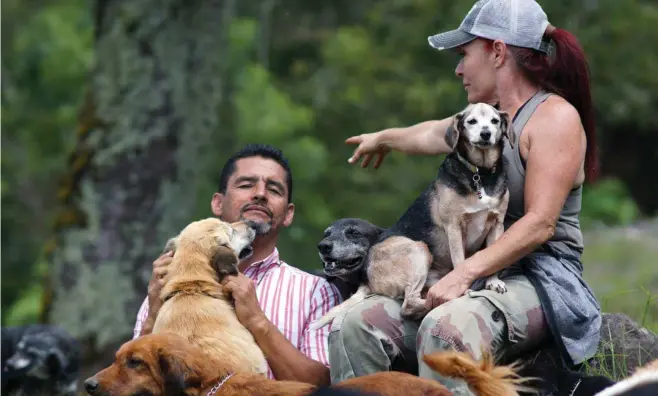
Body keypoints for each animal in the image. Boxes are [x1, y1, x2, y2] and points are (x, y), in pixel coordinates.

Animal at [310, 101, 516, 328]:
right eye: (471, 121)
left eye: (495, 121)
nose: (486, 134)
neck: (480, 173)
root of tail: (367, 278)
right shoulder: (454, 226)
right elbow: (460, 262)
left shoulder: (497, 223)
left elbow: (493, 261)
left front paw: (493, 282)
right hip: (419, 249)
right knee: (409, 304)